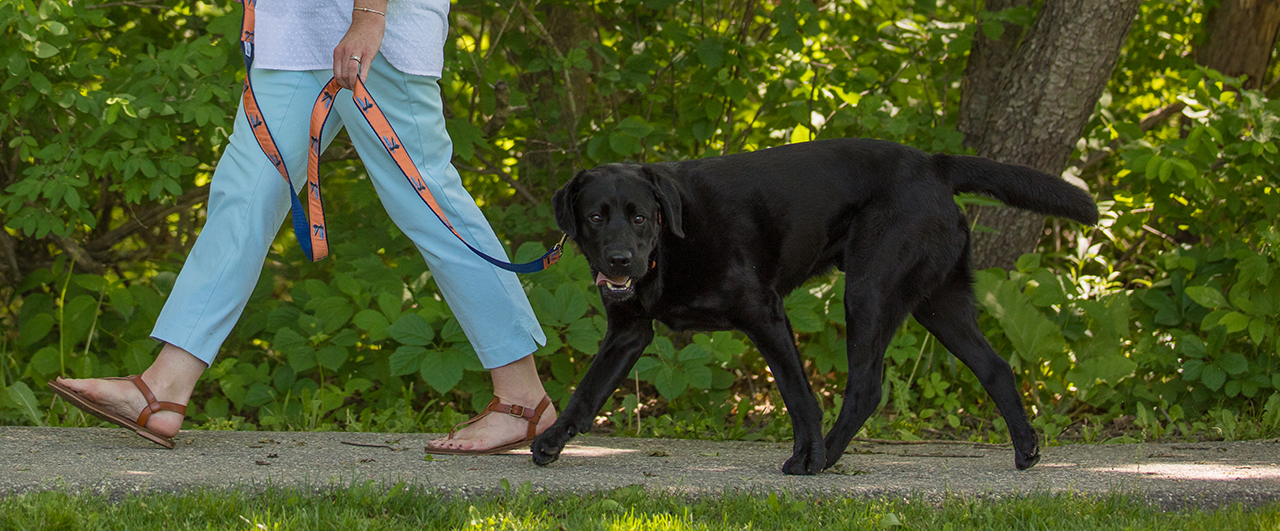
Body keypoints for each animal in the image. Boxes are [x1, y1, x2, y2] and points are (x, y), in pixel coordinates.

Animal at [529, 136, 1100, 473]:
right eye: (596, 217)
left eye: (640, 217)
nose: (620, 261)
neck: (672, 242)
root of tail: (934, 165)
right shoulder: (629, 332)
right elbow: (586, 393)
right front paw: (553, 440)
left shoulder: (765, 314)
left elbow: (799, 395)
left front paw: (807, 455)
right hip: (939, 304)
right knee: (996, 367)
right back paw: (1026, 449)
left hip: (868, 291)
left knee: (867, 386)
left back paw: (827, 458)